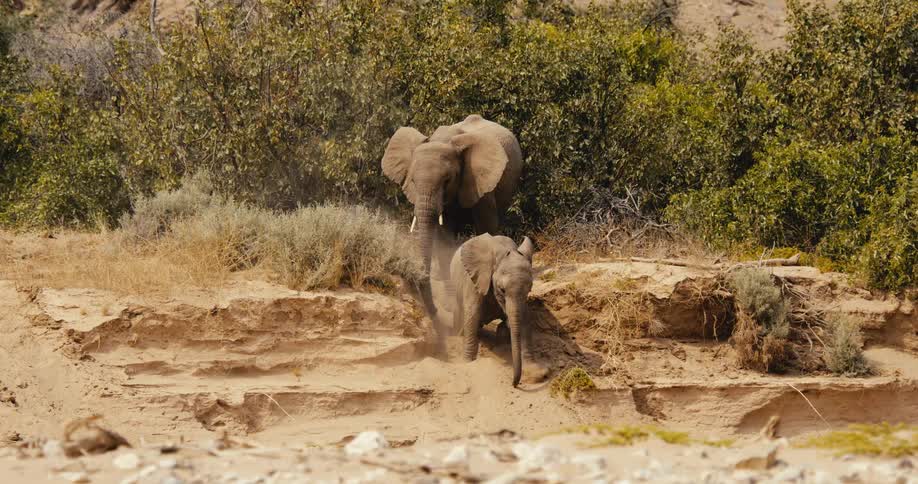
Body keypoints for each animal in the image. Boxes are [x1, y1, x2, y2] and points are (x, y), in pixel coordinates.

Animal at [381, 115, 523, 343]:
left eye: (447, 180)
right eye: (412, 181)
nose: (436, 313)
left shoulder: (478, 177)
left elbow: (486, 223)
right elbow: (445, 231)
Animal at [450, 233, 537, 387]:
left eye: (530, 289)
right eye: (502, 289)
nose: (515, 384)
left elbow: (526, 317)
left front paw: (535, 371)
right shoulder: (476, 278)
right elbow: (472, 314)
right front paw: (467, 361)